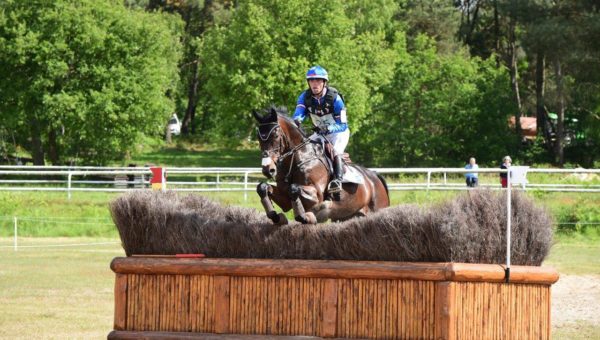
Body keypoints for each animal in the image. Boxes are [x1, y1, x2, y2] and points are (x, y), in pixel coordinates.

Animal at [252, 106, 390, 223]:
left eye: (275, 135)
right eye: (258, 137)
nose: (268, 169)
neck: (298, 158)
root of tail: (374, 176)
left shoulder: (316, 194)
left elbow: (294, 188)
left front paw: (306, 216)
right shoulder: (284, 196)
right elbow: (263, 187)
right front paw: (276, 217)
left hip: (377, 208)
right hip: (348, 216)